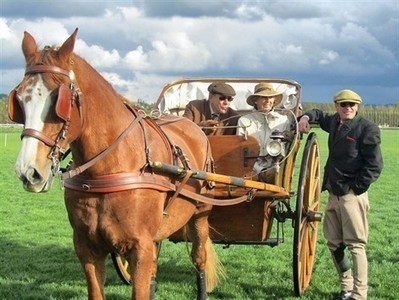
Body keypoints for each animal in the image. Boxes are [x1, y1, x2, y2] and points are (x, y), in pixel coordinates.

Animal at [8, 28, 225, 300]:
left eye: (59, 100)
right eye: (20, 100)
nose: (28, 172)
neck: (107, 171)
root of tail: (196, 127)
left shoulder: (140, 248)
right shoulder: (87, 247)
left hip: (199, 218)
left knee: (199, 259)